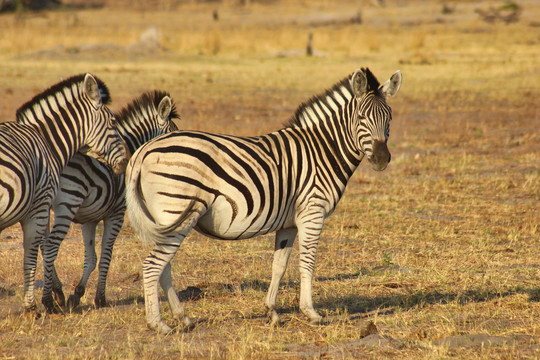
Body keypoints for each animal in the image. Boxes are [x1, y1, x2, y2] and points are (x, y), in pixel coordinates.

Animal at [0, 73, 130, 312]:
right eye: (113, 123)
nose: (126, 161)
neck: (47, 142)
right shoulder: (40, 206)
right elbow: (32, 255)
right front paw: (37, 305)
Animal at [41, 90, 179, 312]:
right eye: (173, 135)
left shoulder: (89, 219)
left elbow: (91, 258)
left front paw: (77, 293)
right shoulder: (117, 213)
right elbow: (106, 255)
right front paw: (100, 298)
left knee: (42, 245)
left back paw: (58, 292)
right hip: (67, 204)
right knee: (50, 245)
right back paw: (49, 299)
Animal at [123, 67, 400, 332]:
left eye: (389, 118)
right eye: (362, 118)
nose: (381, 159)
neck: (322, 151)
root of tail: (143, 150)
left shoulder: (289, 223)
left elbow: (279, 266)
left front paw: (272, 312)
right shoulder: (312, 213)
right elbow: (307, 263)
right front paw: (310, 313)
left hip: (163, 220)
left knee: (163, 268)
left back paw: (183, 318)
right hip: (177, 212)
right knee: (153, 266)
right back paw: (158, 324)